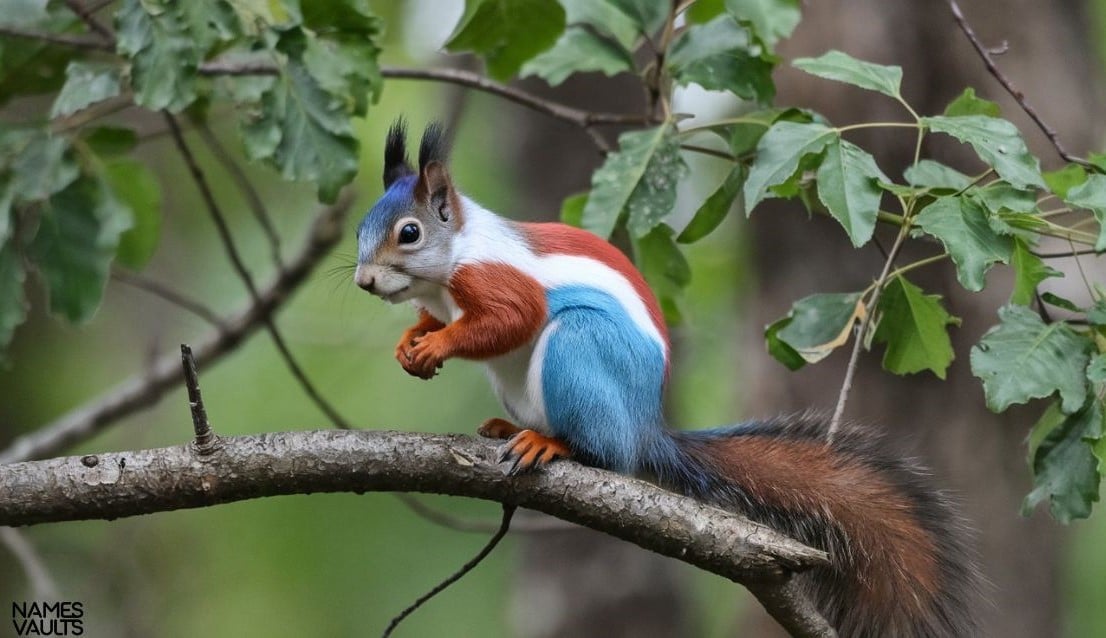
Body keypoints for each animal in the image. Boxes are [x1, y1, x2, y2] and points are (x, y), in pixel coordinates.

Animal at [354, 119, 981, 637]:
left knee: (604, 452)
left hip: (580, 351)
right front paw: (411, 341)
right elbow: (435, 319)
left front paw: (437, 343)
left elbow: (507, 322)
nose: (363, 281)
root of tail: (643, 428)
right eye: (361, 227)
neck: (454, 255)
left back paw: (550, 443)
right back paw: (506, 428)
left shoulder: (500, 282)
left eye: (408, 233)